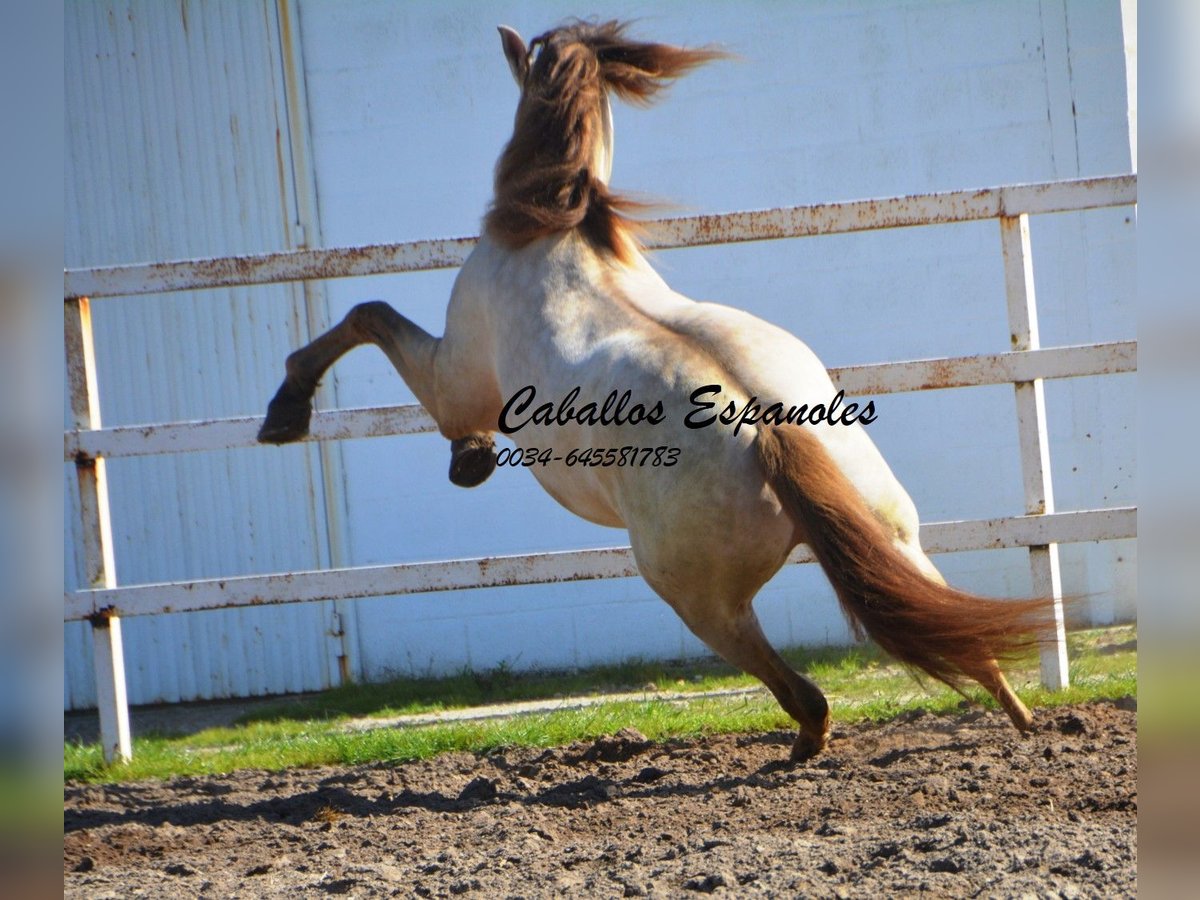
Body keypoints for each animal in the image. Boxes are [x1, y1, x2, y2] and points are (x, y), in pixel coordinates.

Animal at [258, 19, 1046, 763]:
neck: (548, 233)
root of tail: (769, 429)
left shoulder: (454, 382)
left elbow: (370, 316)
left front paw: (293, 413)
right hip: (894, 540)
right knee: (966, 641)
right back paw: (1023, 723)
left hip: (701, 600)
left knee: (807, 694)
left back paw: (803, 748)